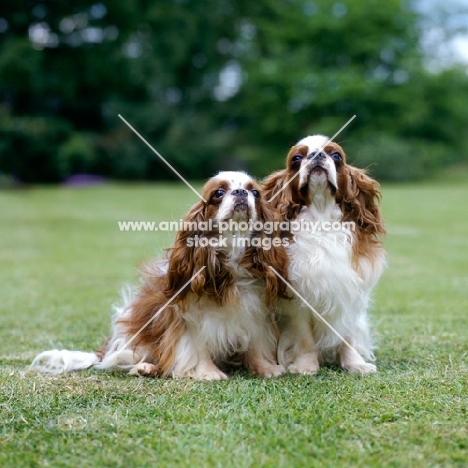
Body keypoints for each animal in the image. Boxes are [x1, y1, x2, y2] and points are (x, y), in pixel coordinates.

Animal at [30, 172, 288, 380]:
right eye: (218, 193)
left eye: (255, 192)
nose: (241, 192)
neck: (232, 254)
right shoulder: (189, 319)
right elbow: (198, 347)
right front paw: (208, 373)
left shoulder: (255, 314)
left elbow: (256, 345)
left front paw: (266, 368)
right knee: (122, 360)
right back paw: (146, 368)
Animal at [262, 135, 386, 372]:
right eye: (297, 159)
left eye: (336, 155)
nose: (317, 155)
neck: (320, 217)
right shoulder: (296, 298)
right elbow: (304, 337)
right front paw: (306, 366)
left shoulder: (348, 291)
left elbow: (346, 334)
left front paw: (354, 364)